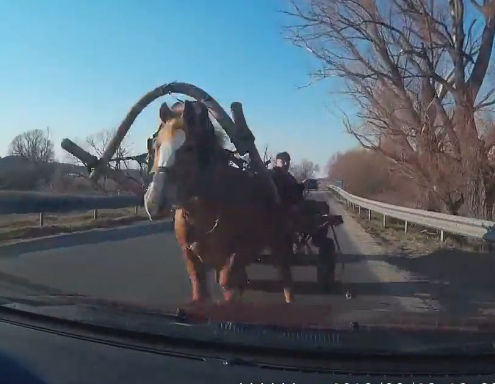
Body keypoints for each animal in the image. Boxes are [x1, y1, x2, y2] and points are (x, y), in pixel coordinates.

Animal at [143, 101, 294, 304]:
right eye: (157, 144)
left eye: (189, 147)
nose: (154, 202)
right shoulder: (190, 256)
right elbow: (199, 287)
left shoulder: (239, 252)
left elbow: (227, 282)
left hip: (279, 241)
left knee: (285, 276)